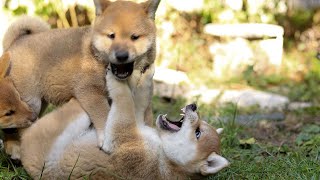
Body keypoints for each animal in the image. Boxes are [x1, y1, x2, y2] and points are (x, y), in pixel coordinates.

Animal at [20, 65, 229, 179]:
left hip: (66, 122)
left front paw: (117, 81)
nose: (193, 106)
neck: (164, 158)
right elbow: (137, 101)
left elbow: (124, 99)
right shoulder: (138, 125)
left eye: (198, 133)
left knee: (80, 103)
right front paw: (145, 77)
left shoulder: (125, 138)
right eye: (201, 126)